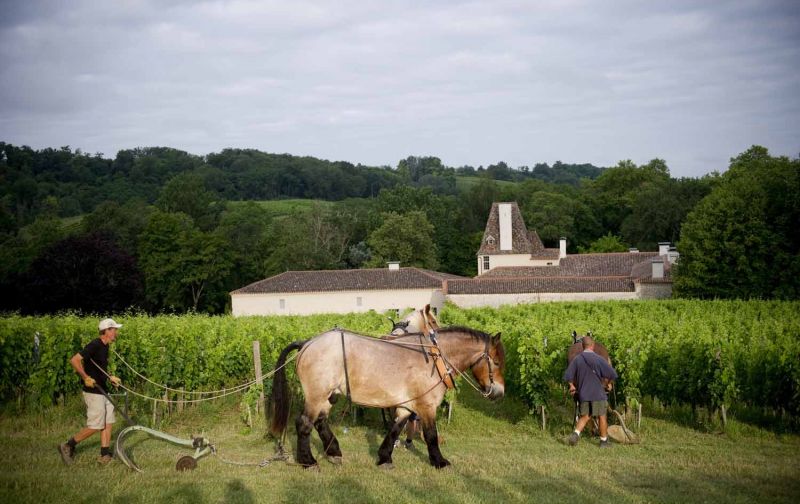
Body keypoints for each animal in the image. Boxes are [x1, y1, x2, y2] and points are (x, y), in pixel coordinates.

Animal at [272, 326, 504, 468]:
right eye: (497, 362)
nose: (499, 393)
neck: (434, 359)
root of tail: (307, 343)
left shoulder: (407, 406)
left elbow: (395, 429)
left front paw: (384, 457)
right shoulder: (427, 407)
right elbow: (431, 435)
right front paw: (439, 461)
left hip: (329, 396)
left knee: (320, 421)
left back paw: (334, 452)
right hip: (316, 395)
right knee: (304, 424)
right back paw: (308, 461)